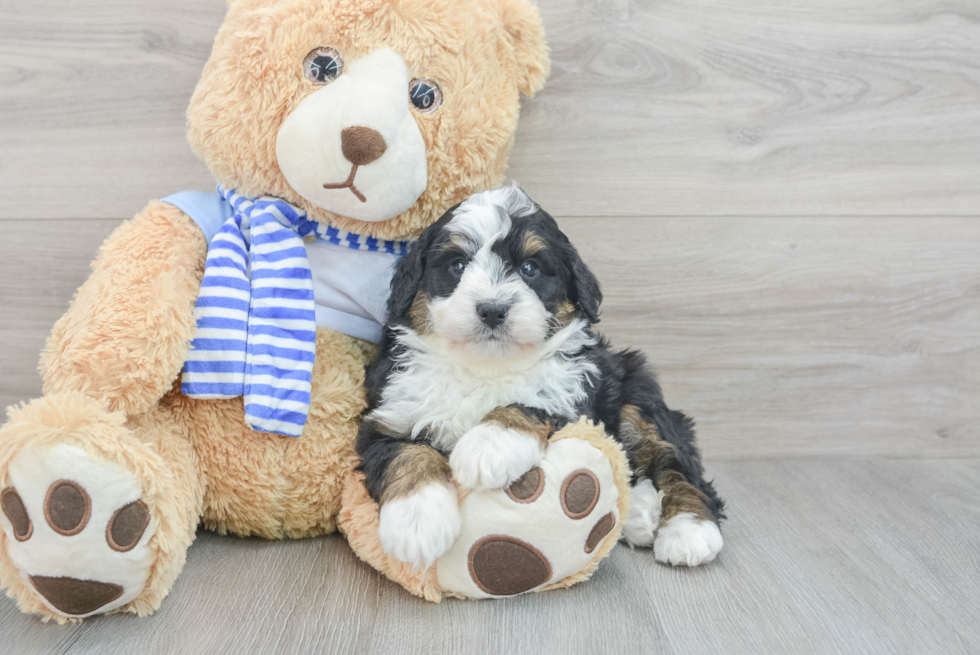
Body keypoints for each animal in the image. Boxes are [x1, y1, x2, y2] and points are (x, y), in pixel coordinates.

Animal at [356, 186, 724, 568]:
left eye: (530, 268)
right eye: (457, 265)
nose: (492, 309)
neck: (485, 365)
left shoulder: (574, 393)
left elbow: (533, 400)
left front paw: (489, 444)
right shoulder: (390, 413)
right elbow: (406, 455)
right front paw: (417, 522)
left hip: (637, 395)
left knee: (674, 464)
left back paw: (688, 530)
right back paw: (640, 512)